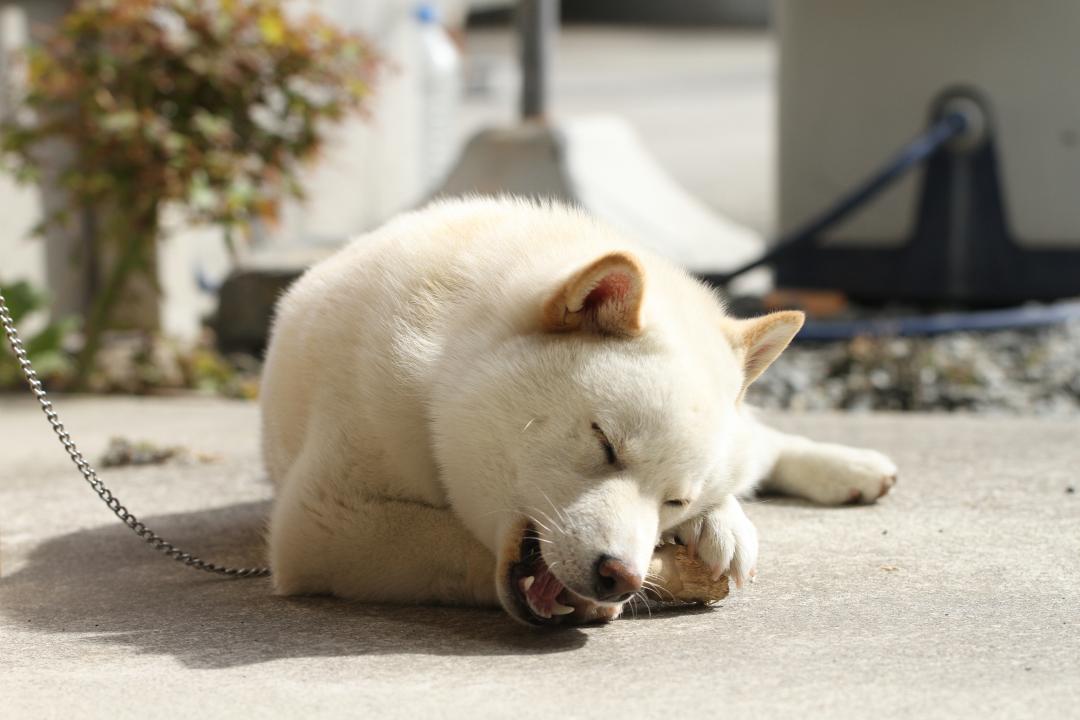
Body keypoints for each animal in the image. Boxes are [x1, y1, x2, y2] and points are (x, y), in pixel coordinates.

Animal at [259, 198, 894, 626]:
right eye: (604, 444)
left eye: (675, 500)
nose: (622, 578)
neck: (437, 371)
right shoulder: (324, 522)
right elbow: (452, 541)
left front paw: (716, 521)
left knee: (764, 443)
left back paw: (848, 470)